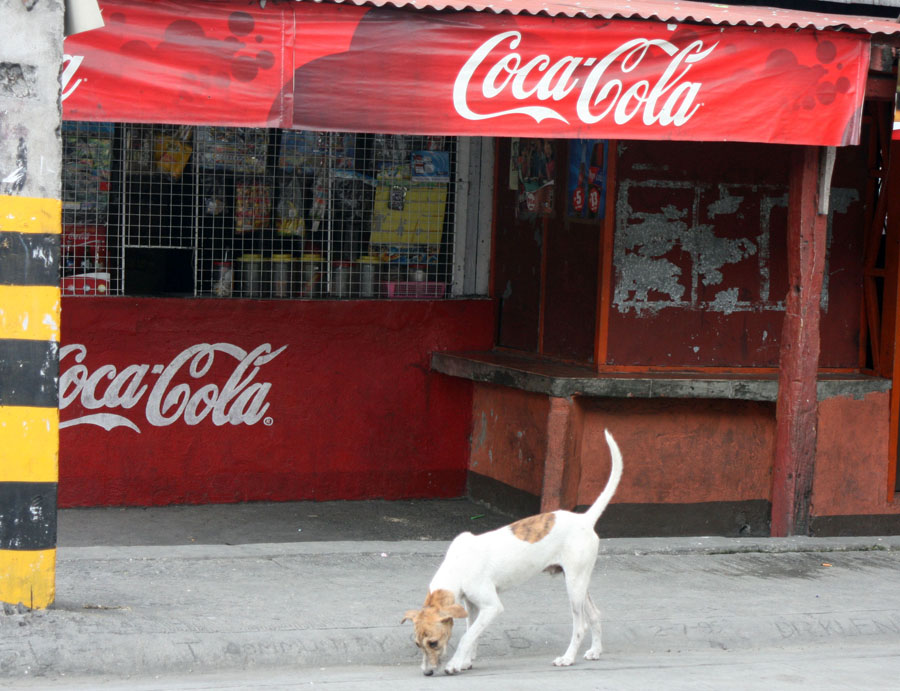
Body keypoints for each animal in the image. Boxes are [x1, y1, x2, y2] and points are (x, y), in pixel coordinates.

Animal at [402, 430, 624, 680]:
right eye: (417, 644)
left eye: (433, 643)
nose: (427, 673)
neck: (458, 566)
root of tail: (584, 519)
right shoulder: (472, 607)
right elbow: (472, 633)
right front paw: (465, 661)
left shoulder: (491, 606)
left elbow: (467, 636)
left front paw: (455, 664)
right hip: (578, 582)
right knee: (595, 614)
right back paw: (595, 651)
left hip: (574, 587)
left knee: (580, 625)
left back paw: (567, 658)